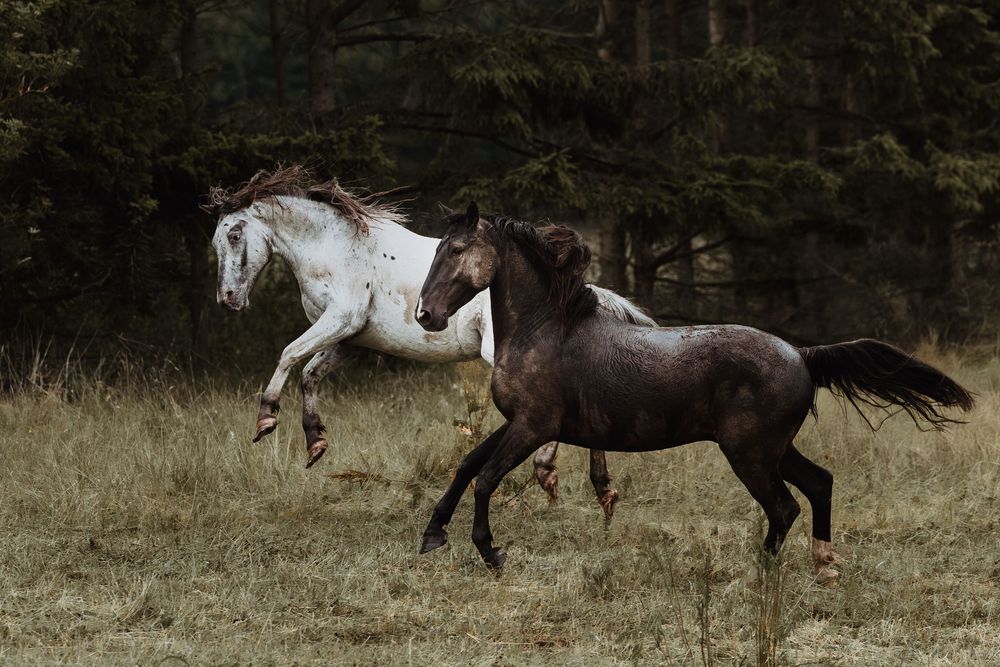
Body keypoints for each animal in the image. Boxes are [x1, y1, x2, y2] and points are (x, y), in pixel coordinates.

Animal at [208, 167, 656, 519]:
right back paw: (602, 490)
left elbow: (289, 355)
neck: (335, 248)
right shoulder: (351, 339)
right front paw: (315, 442)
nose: (228, 299)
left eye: (234, 235)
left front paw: (266, 419)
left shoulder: (341, 319)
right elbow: (310, 374)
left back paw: (551, 471)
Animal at [413, 203, 974, 583]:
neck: (545, 329)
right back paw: (824, 565)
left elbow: (486, 479)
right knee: (819, 484)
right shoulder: (519, 423)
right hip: (773, 449)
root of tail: (801, 354)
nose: (425, 315)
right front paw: (432, 536)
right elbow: (467, 465)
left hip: (749, 453)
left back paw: (759, 572)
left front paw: (491, 552)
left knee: (784, 506)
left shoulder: (534, 426)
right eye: (437, 248)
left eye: (456, 250)